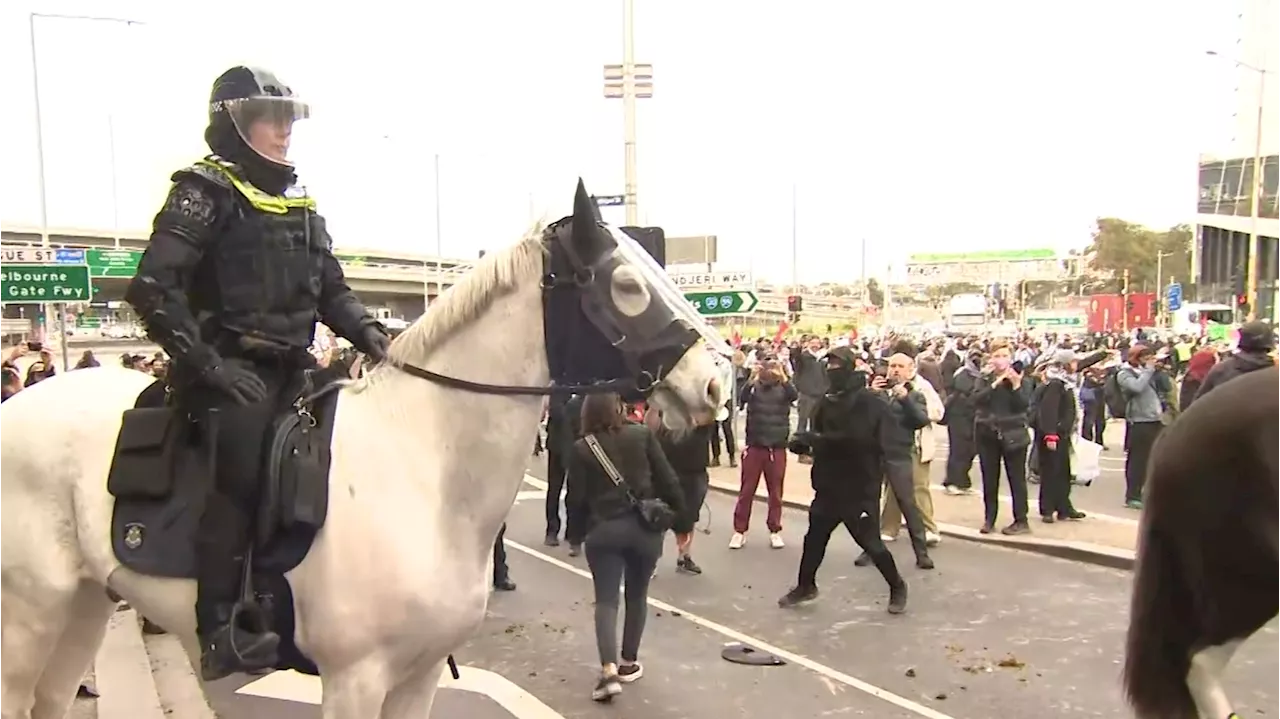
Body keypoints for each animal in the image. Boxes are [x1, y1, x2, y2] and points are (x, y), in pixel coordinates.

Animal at [0, 185, 727, 716]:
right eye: (626, 285)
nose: (717, 383)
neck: (424, 469)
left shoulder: (419, 675)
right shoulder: (354, 678)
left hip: (85, 602)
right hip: (29, 614)